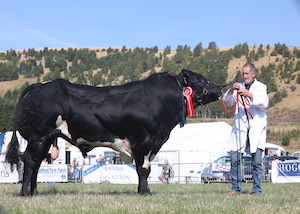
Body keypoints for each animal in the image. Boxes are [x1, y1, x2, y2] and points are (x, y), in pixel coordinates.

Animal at [5, 70, 223, 196]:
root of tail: (41, 85)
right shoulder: (143, 140)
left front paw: (145, 190)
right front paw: (144, 192)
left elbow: (145, 169)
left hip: (46, 138)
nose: (220, 88)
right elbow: (143, 169)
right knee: (30, 162)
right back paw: (25, 193)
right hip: (38, 137)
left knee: (36, 164)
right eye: (202, 80)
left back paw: (34, 192)